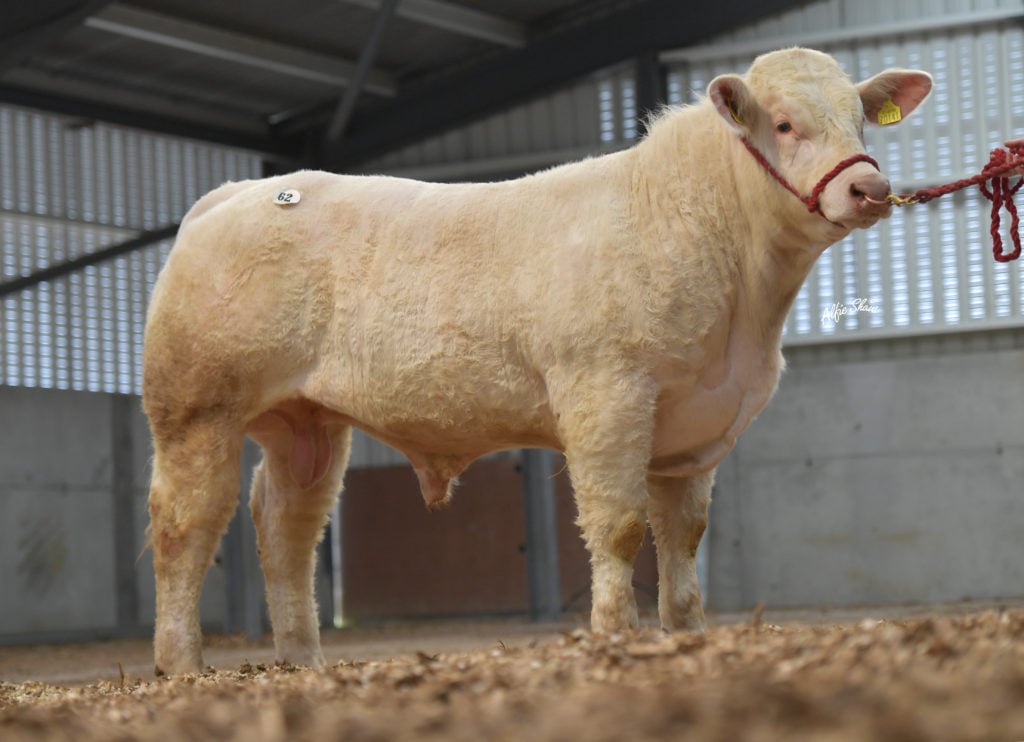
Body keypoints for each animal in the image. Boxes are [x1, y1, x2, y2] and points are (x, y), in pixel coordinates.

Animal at [142, 48, 932, 676]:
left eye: (861, 123)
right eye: (787, 124)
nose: (868, 188)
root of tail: (237, 193)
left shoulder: (695, 422)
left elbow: (683, 535)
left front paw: (687, 632)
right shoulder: (606, 394)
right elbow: (619, 525)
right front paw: (615, 634)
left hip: (304, 420)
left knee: (286, 528)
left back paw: (301, 659)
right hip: (196, 407)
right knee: (186, 524)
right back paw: (181, 663)